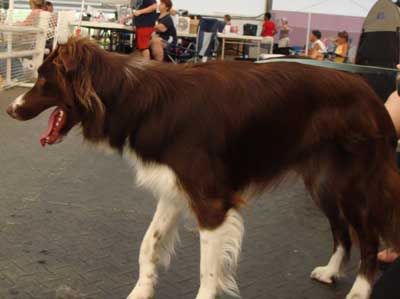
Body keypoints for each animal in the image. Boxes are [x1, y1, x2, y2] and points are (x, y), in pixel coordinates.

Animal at [6, 38, 400, 299]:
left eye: (44, 79)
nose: (11, 109)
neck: (136, 98)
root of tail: (369, 93)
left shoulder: (211, 201)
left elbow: (207, 270)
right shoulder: (174, 190)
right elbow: (148, 244)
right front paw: (141, 291)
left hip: (354, 185)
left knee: (368, 240)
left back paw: (360, 290)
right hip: (324, 184)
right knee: (342, 233)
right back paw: (331, 272)